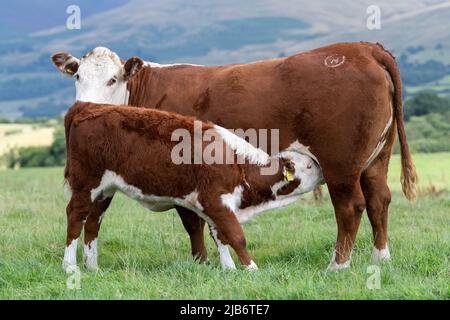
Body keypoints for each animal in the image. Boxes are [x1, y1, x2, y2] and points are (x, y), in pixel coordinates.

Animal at [62, 101, 324, 272]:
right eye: (309, 165)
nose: (323, 169)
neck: (238, 164)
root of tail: (89, 106)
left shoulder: (212, 205)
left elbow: (220, 236)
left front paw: (228, 269)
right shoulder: (216, 200)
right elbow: (236, 236)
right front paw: (251, 269)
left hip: (104, 190)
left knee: (93, 222)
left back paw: (92, 266)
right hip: (86, 183)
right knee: (75, 216)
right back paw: (70, 267)